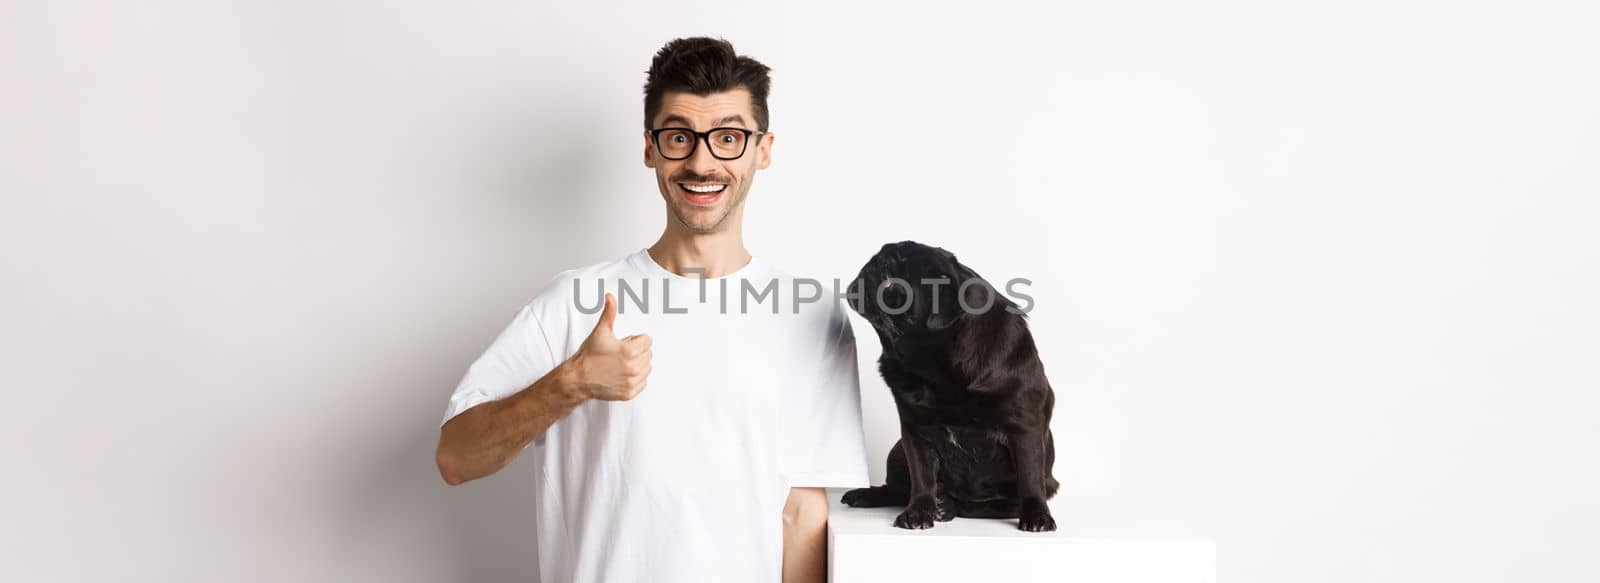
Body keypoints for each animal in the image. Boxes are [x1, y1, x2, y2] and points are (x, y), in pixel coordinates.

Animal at [838, 238, 1062, 531]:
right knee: (896, 489)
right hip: (897, 450)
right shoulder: (915, 431)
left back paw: (947, 506)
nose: (871, 266)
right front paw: (918, 512)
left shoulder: (1024, 429)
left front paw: (1037, 515)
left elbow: (1030, 476)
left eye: (889, 278)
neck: (935, 363)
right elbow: (922, 478)